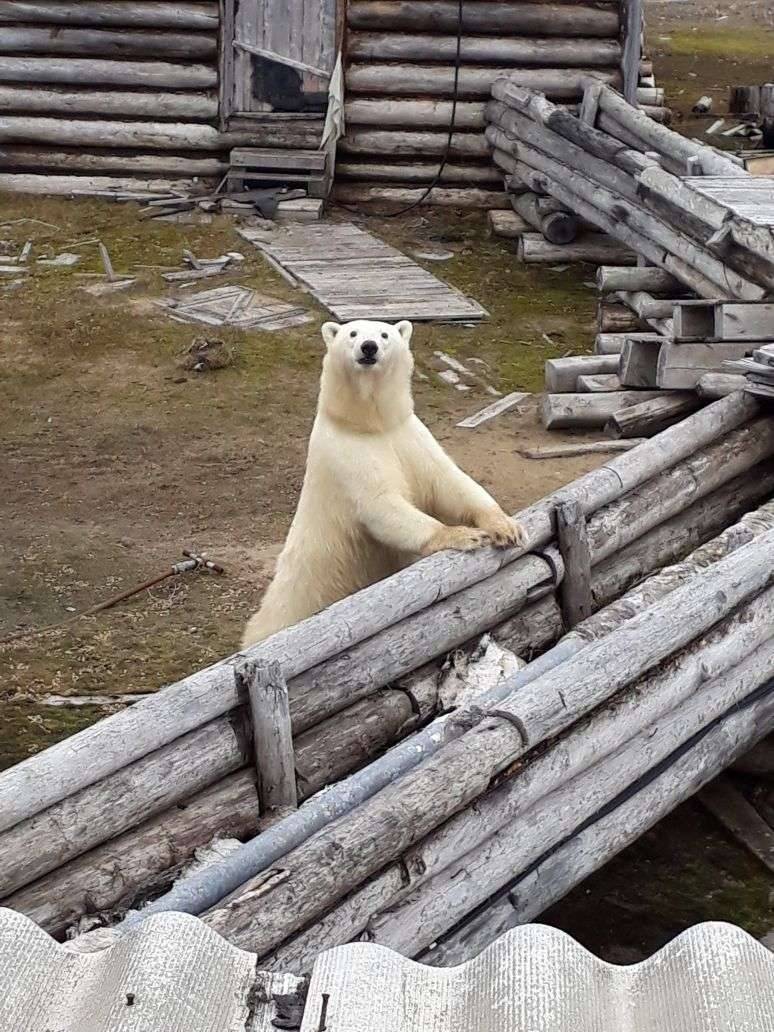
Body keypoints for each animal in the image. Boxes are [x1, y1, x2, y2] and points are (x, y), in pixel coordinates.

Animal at [242, 317, 528, 648]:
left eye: (384, 334)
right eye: (352, 333)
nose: (369, 348)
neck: (369, 425)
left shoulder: (408, 437)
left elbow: (449, 482)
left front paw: (505, 528)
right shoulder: (347, 453)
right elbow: (379, 504)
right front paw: (465, 536)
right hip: (302, 596)